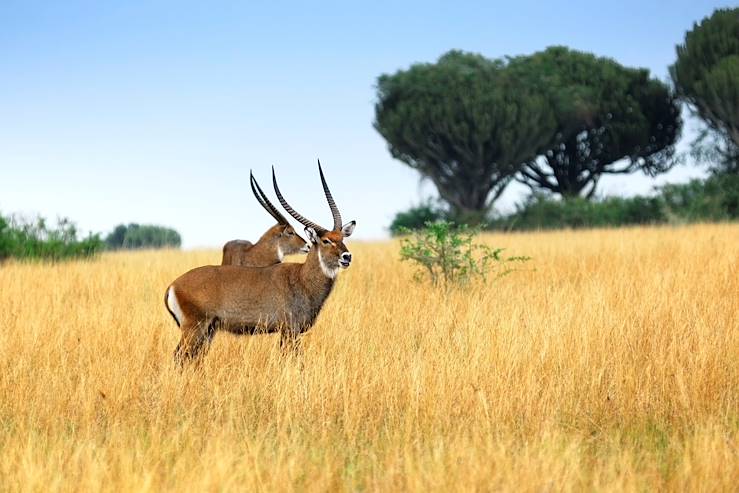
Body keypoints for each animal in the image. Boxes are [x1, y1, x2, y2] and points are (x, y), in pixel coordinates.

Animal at [165, 161, 356, 362]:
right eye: (326, 240)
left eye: (342, 237)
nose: (347, 256)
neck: (302, 278)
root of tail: (173, 286)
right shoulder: (289, 330)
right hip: (194, 330)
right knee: (179, 356)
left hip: (208, 331)